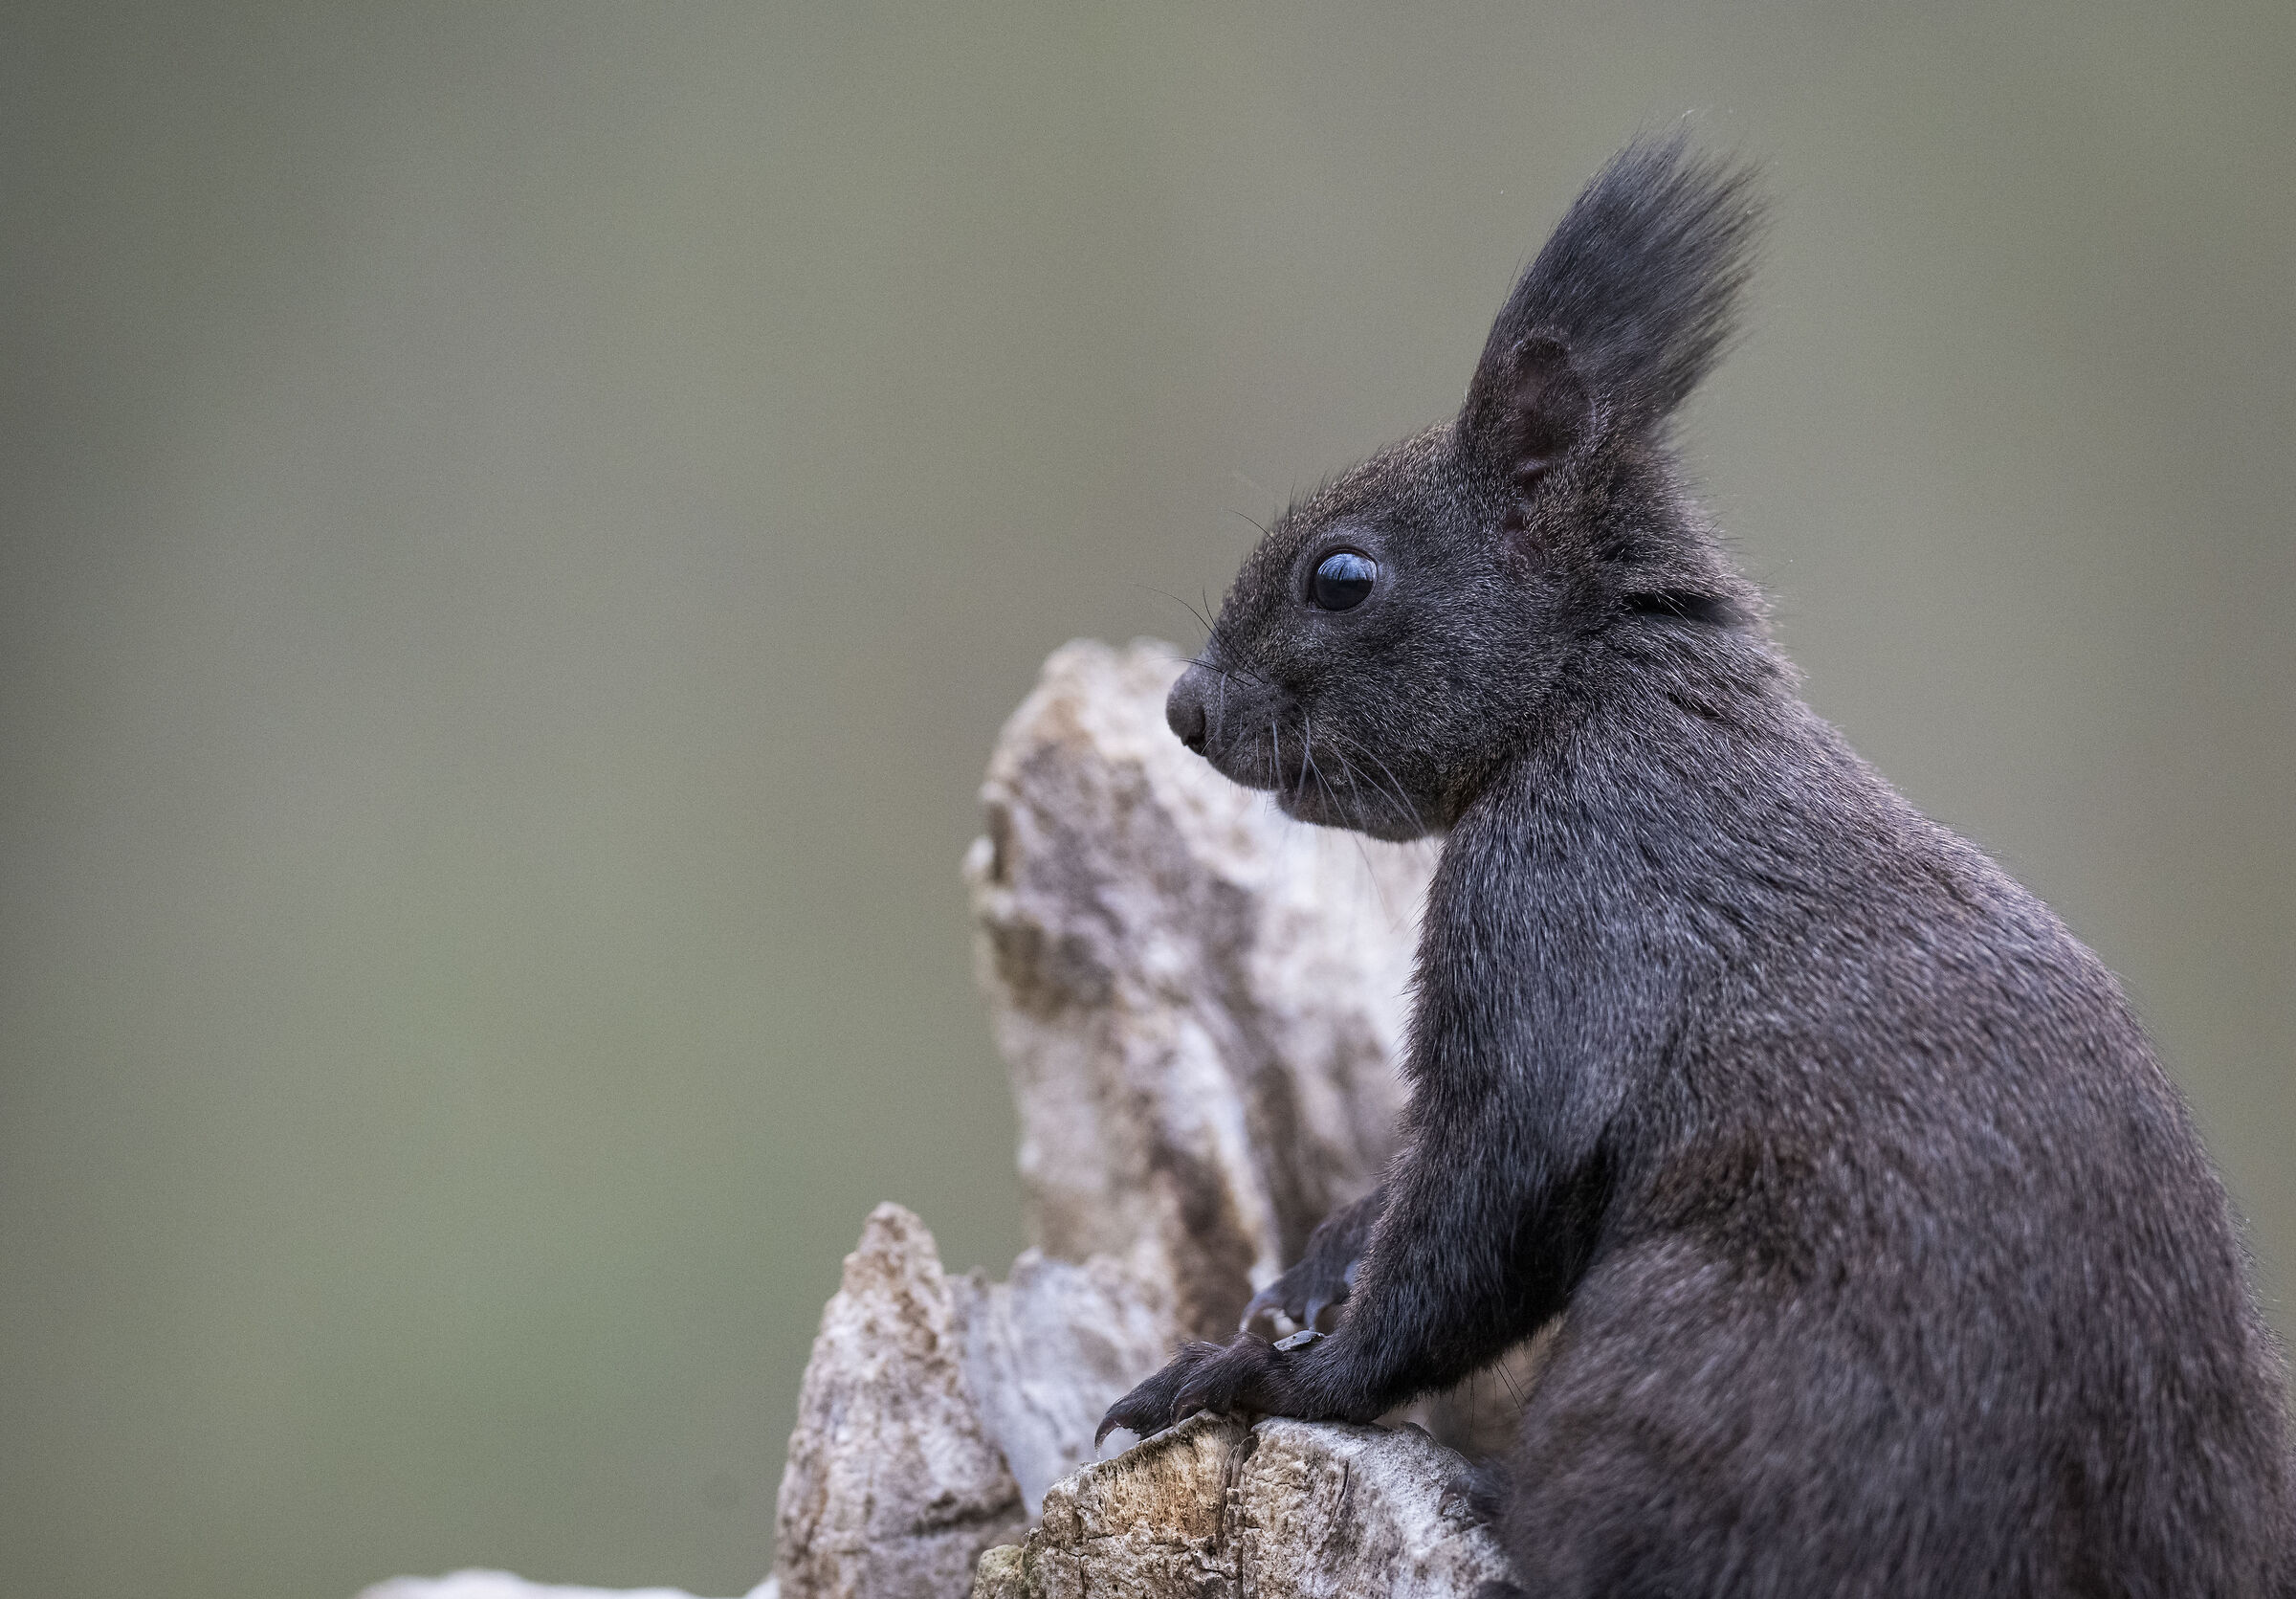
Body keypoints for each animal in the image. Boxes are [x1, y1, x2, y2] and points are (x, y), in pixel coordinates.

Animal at [1096, 132, 2294, 1596]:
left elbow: (1481, 1204)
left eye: (1343, 575)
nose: (1188, 709)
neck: (1597, 695)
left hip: (1695, 1374)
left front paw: (1261, 1377)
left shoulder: (1558, 910)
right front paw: (1310, 1267)